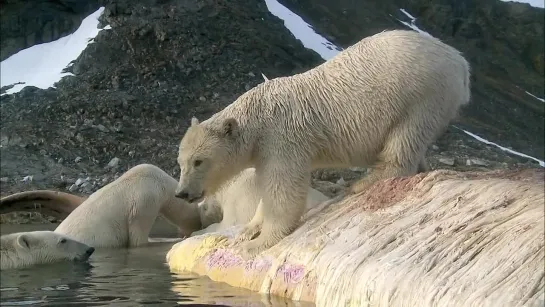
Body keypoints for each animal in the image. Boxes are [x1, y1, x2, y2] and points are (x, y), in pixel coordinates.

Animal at [175, 28, 472, 256]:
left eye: (199, 161)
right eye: (181, 162)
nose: (182, 193)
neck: (259, 115)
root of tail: (461, 62)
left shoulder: (283, 138)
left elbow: (284, 191)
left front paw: (257, 243)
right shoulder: (266, 150)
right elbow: (266, 190)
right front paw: (249, 229)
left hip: (422, 93)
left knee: (405, 138)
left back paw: (366, 181)